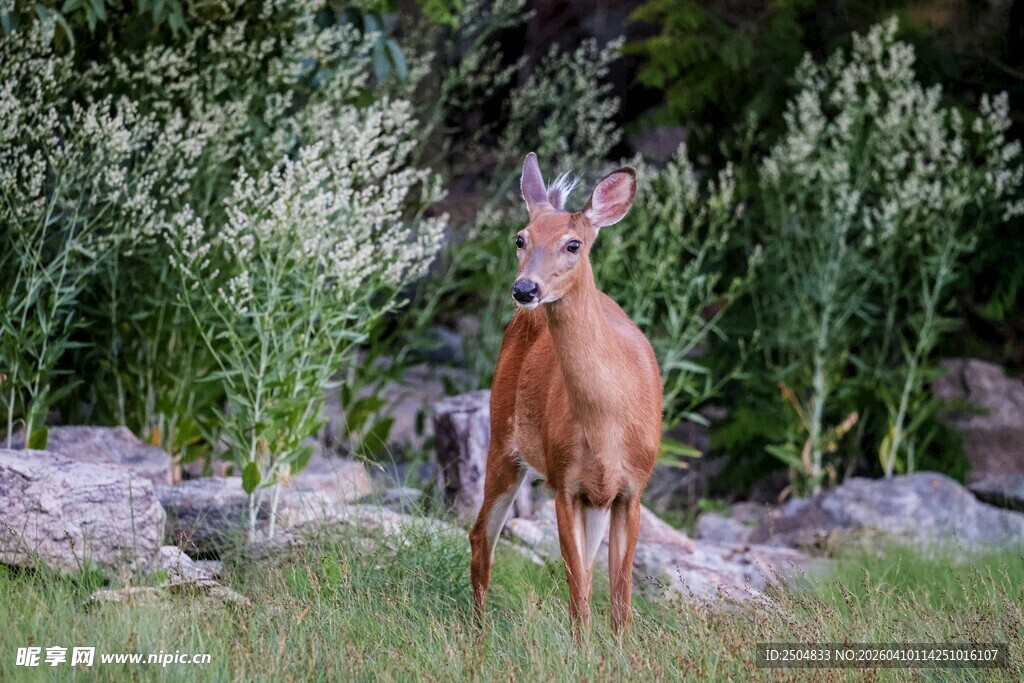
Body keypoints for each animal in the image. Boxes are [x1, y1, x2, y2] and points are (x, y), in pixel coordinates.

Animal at [469, 152, 662, 636]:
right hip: (502, 436)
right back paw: (478, 632)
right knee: (481, 535)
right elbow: (578, 591)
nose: (525, 289)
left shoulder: (631, 489)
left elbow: (618, 595)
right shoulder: (564, 482)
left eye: (574, 244)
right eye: (520, 238)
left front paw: (618, 646)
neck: (608, 424)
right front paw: (582, 646)